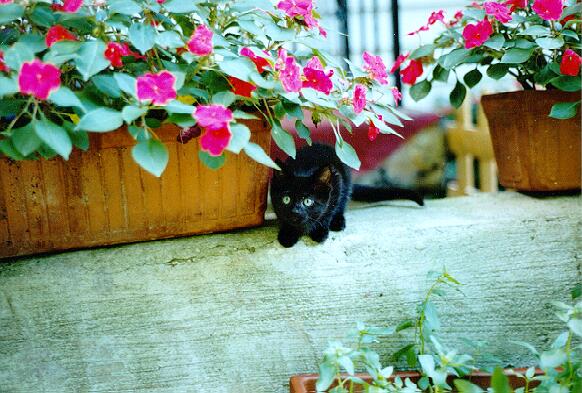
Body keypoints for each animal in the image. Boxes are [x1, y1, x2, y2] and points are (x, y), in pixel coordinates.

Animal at [272, 144, 426, 247]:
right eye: (286, 199)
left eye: (308, 201)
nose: (295, 211)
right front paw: (288, 234)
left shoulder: (337, 184)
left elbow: (329, 210)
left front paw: (320, 231)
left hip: (345, 181)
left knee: (342, 203)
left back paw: (338, 222)